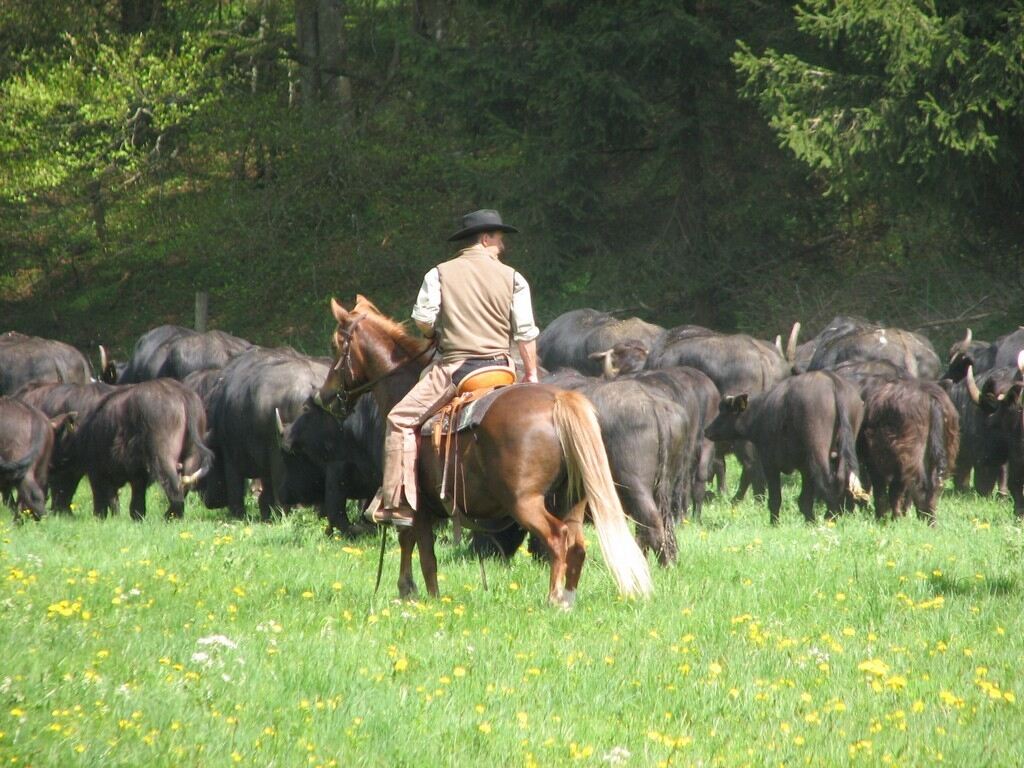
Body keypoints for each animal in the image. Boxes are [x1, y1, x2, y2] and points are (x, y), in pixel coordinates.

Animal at [315, 296, 651, 610]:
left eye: (336, 345)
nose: (325, 397)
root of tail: (559, 401)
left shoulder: (414, 503)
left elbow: (420, 549)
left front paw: (418, 594)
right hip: (571, 501)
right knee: (577, 545)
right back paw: (567, 600)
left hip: (526, 502)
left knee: (557, 539)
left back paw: (553, 599)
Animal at [708, 370, 868, 528]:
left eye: (724, 411)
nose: (707, 430)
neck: (760, 413)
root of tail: (833, 381)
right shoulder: (805, 468)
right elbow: (805, 500)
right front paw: (810, 522)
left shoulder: (770, 463)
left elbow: (775, 498)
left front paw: (774, 523)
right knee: (842, 478)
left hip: (818, 450)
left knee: (828, 480)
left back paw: (830, 516)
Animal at [856, 378, 958, 524]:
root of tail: (930, 397)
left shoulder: (874, 462)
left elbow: (880, 492)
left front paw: (883, 518)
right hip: (943, 452)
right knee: (934, 485)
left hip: (911, 456)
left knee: (918, 488)